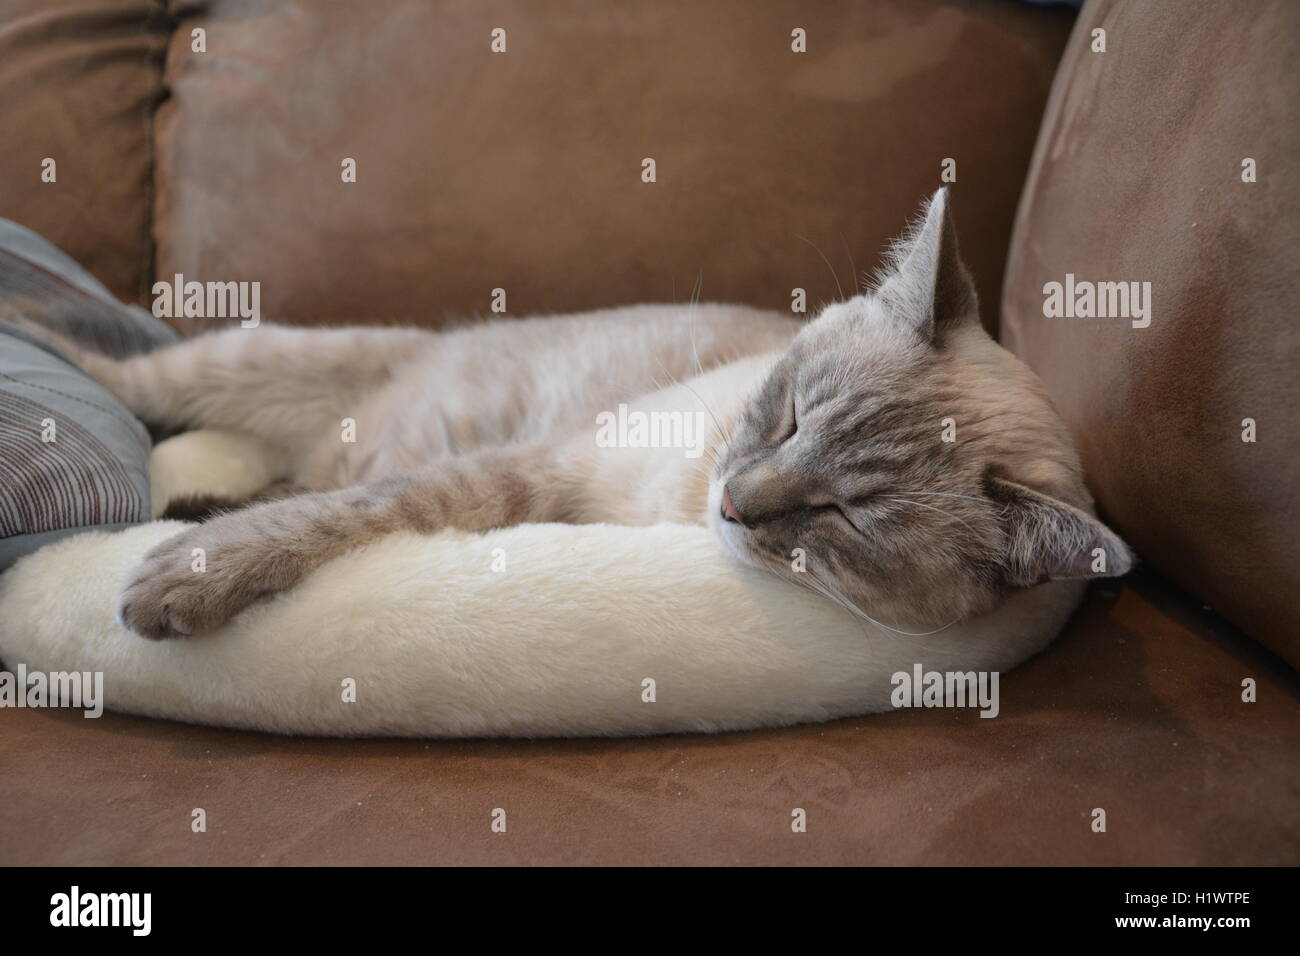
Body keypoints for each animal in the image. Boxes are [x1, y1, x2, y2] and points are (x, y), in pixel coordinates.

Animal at [22, 187, 1138, 639]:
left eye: (844, 518)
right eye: (782, 416)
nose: (735, 505)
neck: (679, 504)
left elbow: (347, 511)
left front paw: (181, 570)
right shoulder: (545, 466)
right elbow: (358, 513)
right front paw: (175, 583)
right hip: (251, 358)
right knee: (124, 370)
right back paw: (28, 318)